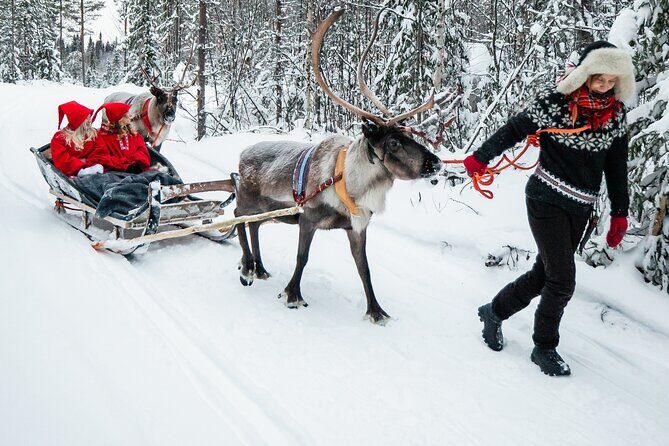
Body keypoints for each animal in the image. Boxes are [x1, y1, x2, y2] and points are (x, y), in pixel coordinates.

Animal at [233, 7, 446, 324]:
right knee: (237, 217)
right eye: (394, 142)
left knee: (254, 225)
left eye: (410, 136)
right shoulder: (308, 218)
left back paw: (259, 268)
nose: (436, 162)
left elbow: (364, 268)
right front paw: (293, 295)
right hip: (247, 200)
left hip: (264, 209)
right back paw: (247, 267)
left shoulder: (357, 228)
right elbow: (302, 257)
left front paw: (376, 311)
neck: (351, 184)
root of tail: (242, 153)